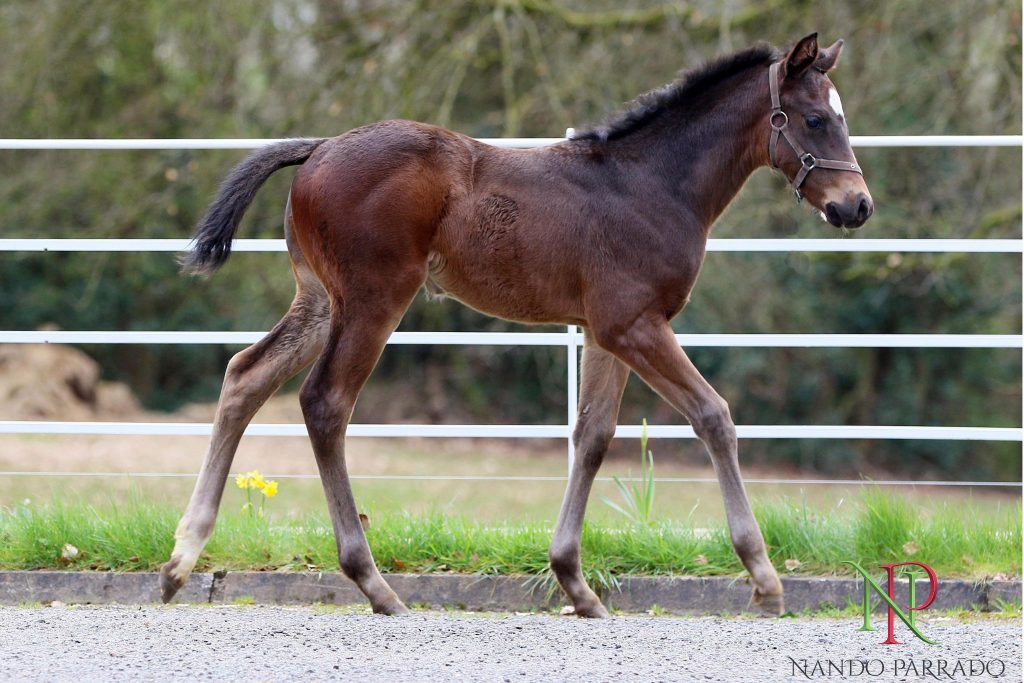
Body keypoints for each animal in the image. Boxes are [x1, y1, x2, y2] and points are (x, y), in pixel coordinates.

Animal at [159, 33, 872, 618]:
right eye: (815, 119)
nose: (857, 205)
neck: (652, 183)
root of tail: (321, 147)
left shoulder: (607, 332)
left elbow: (593, 435)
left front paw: (577, 586)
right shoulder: (635, 325)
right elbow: (713, 415)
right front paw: (764, 578)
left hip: (320, 301)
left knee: (245, 376)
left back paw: (180, 560)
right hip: (372, 299)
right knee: (325, 402)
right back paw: (374, 584)